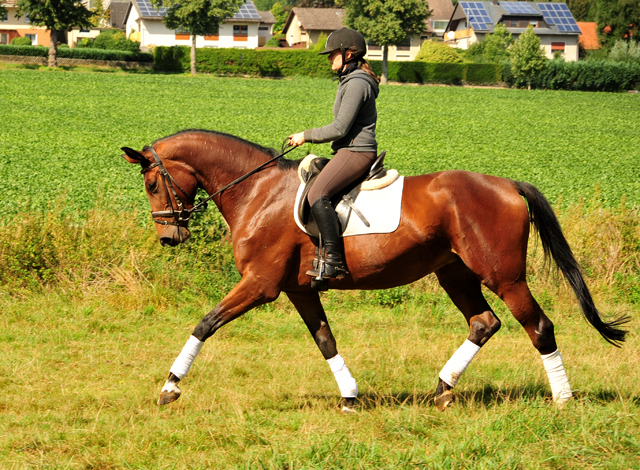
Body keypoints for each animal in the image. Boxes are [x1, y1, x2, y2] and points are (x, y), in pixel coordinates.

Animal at [122, 129, 628, 412]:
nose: (169, 238)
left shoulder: (260, 285)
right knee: (484, 323)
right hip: (454, 273)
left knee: (538, 326)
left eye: (151, 183)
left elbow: (204, 323)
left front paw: (169, 387)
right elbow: (325, 340)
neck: (257, 191)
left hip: (503, 276)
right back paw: (443, 389)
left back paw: (562, 399)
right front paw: (349, 397)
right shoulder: (299, 290)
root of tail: (506, 184)